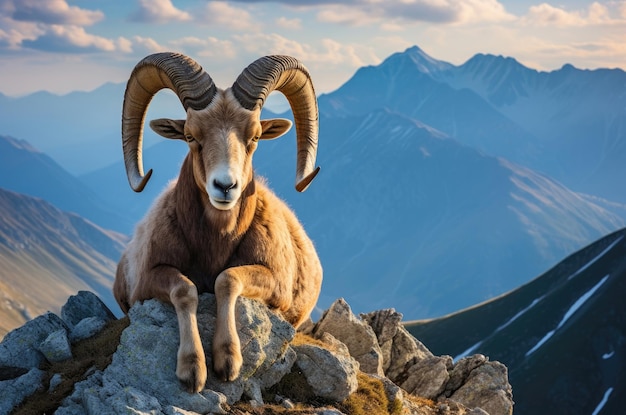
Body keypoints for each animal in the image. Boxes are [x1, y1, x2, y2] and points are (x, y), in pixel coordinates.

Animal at [112, 52, 324, 394]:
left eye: (255, 136)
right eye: (190, 136)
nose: (225, 186)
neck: (215, 244)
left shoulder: (274, 282)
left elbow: (227, 279)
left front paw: (228, 361)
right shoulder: (149, 278)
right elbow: (185, 290)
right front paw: (193, 370)